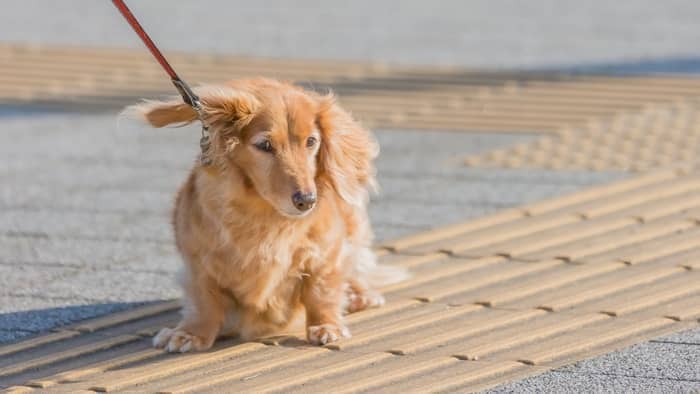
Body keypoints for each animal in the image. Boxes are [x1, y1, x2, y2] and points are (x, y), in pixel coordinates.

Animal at [129, 78, 408, 352]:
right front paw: (190, 333)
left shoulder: (327, 253)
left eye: (311, 141)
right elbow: (204, 300)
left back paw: (360, 295)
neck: (268, 217)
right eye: (264, 145)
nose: (307, 201)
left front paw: (326, 325)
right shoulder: (197, 261)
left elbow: (321, 290)